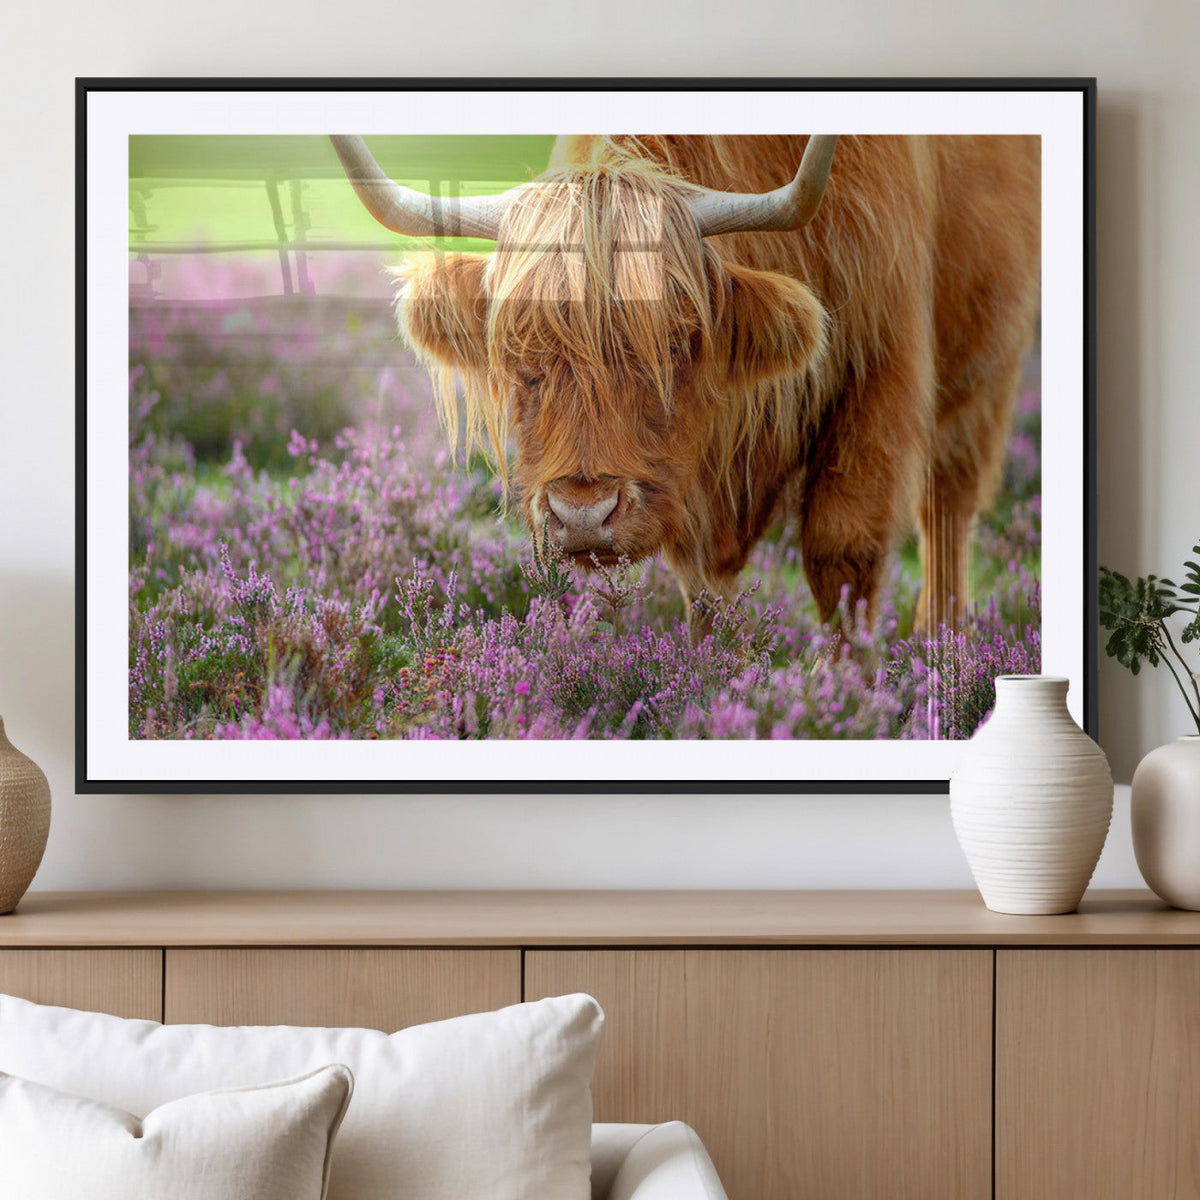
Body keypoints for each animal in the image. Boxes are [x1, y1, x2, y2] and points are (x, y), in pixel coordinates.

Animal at [330, 132, 1040, 633]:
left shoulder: (881, 365)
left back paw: (940, 653)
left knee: (947, 508)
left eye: (674, 345)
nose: (582, 514)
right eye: (521, 356)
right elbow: (701, 586)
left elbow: (844, 552)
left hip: (987, 364)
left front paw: (848, 703)